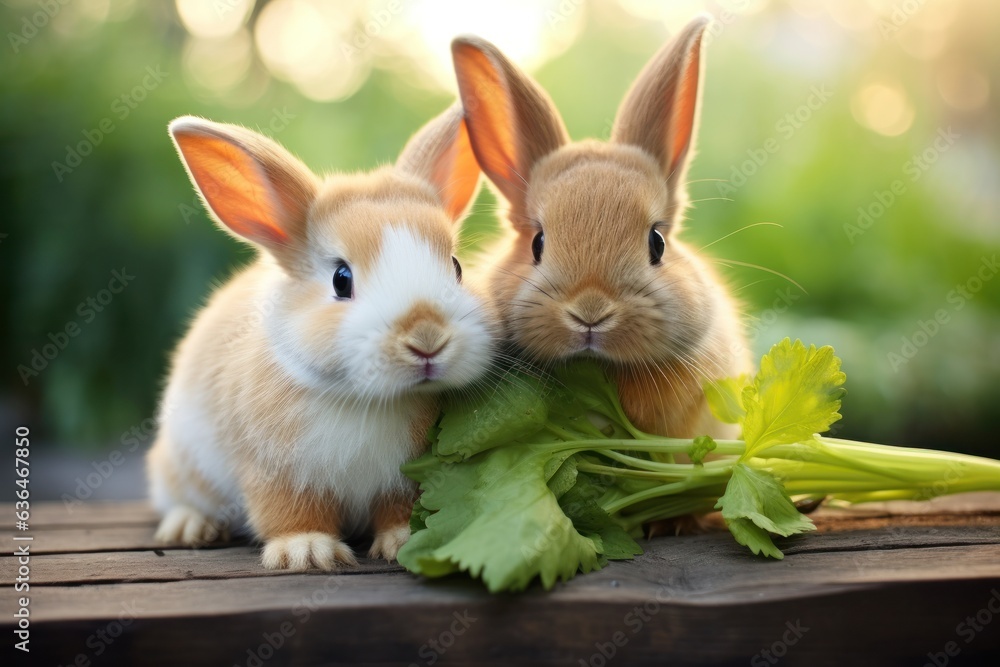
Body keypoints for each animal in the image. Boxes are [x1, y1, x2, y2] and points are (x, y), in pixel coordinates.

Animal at [146, 103, 496, 568]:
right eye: (341, 279)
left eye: (456, 267)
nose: (426, 338)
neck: (369, 400)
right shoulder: (276, 472)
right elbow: (290, 513)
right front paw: (308, 552)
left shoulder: (403, 480)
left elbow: (399, 510)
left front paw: (402, 542)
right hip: (181, 465)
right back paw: (190, 527)